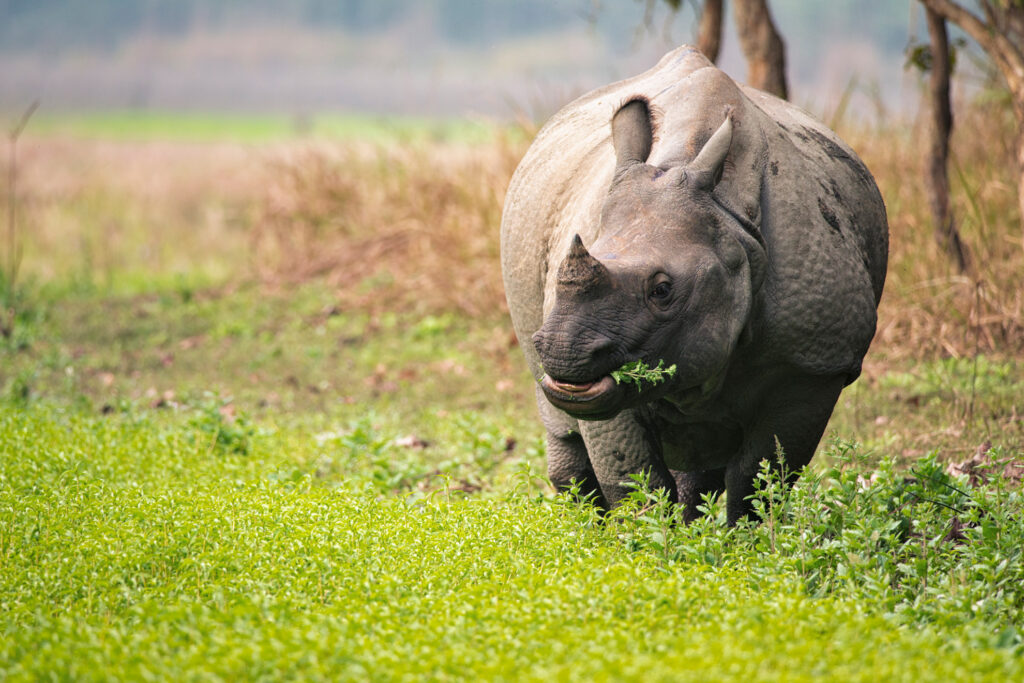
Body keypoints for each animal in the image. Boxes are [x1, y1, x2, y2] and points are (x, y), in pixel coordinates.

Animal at [500, 46, 888, 524]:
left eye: (663, 290)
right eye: (557, 277)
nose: (563, 352)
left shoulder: (813, 366)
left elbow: (760, 480)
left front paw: (747, 540)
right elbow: (633, 480)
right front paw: (646, 538)